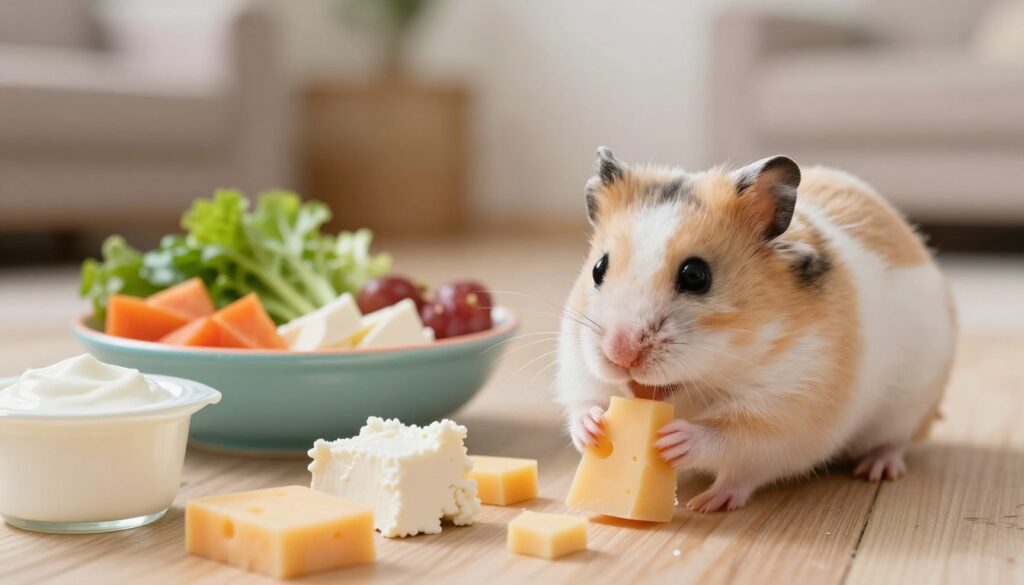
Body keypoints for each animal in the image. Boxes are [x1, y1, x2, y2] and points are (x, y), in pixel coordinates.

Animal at [556, 147, 956, 512]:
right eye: (598, 268)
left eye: (696, 276)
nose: (619, 354)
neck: (704, 383)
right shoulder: (579, 365)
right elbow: (583, 404)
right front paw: (594, 429)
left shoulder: (786, 410)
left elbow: (731, 443)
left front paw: (675, 446)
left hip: (907, 406)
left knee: (897, 441)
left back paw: (875, 469)